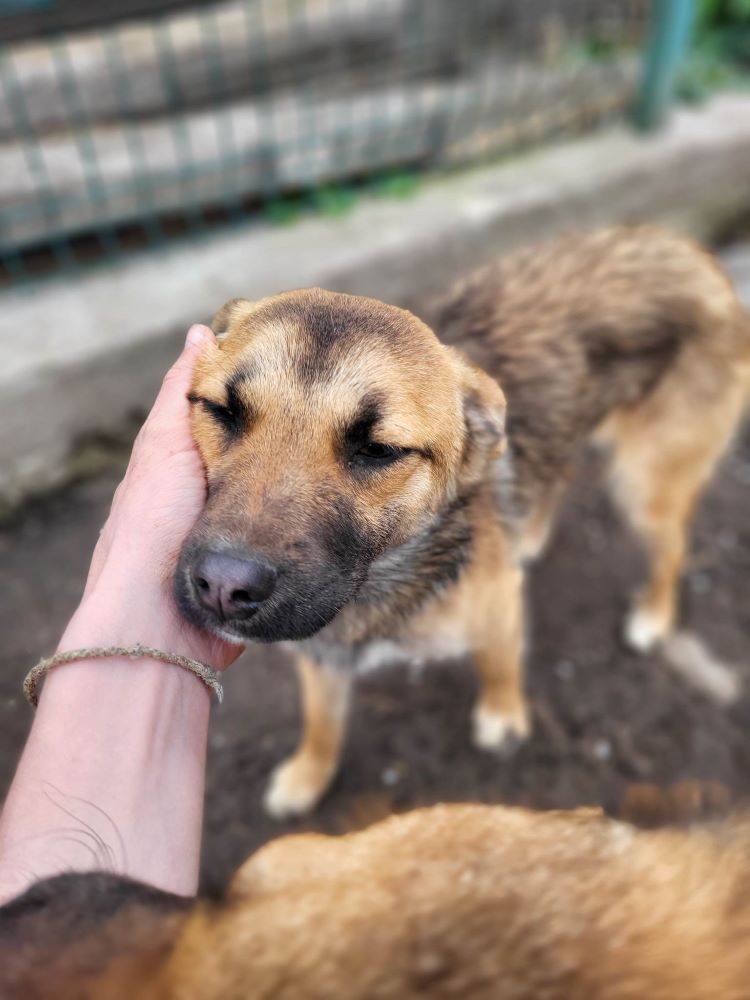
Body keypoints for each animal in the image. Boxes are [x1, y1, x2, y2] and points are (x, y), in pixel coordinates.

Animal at [176, 229, 750, 820]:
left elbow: (500, 669)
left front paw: (503, 718)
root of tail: (689, 249)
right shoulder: (323, 652)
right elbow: (322, 721)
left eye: (379, 449)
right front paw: (308, 775)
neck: (381, 586)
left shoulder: (498, 609)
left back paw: (653, 615)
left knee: (673, 547)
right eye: (222, 410)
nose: (224, 586)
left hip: (647, 483)